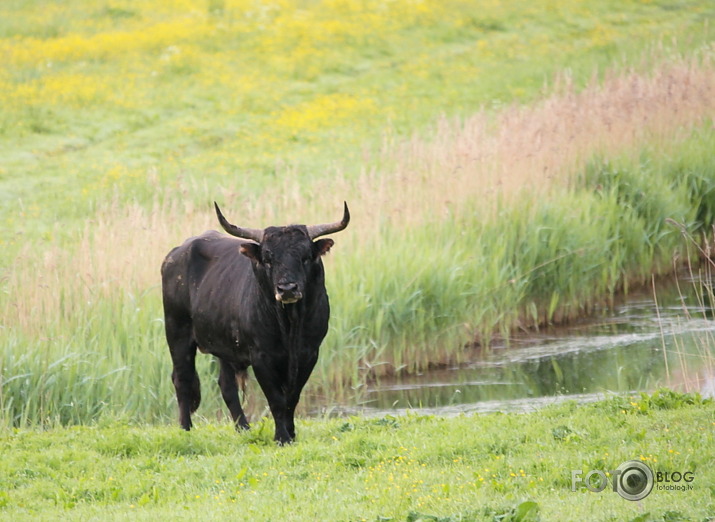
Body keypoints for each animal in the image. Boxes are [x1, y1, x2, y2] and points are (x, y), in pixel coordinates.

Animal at [163, 201, 352, 440]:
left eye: (306, 257)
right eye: (268, 259)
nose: (287, 289)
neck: (290, 325)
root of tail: (177, 252)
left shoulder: (309, 353)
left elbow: (292, 397)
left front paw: (291, 432)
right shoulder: (261, 356)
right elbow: (276, 399)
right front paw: (282, 437)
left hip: (224, 346)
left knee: (226, 386)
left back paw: (243, 428)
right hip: (177, 332)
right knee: (183, 379)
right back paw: (186, 429)